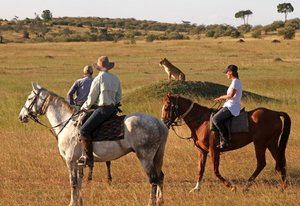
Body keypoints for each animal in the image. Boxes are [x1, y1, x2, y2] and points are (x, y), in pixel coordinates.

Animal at [162, 94, 290, 192]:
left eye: (167, 107)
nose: (164, 123)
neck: (201, 121)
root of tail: (275, 113)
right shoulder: (202, 151)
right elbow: (200, 169)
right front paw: (197, 188)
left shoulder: (214, 150)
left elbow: (215, 171)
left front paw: (231, 186)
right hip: (271, 143)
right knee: (280, 161)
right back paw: (283, 186)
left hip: (260, 143)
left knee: (261, 163)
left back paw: (246, 186)